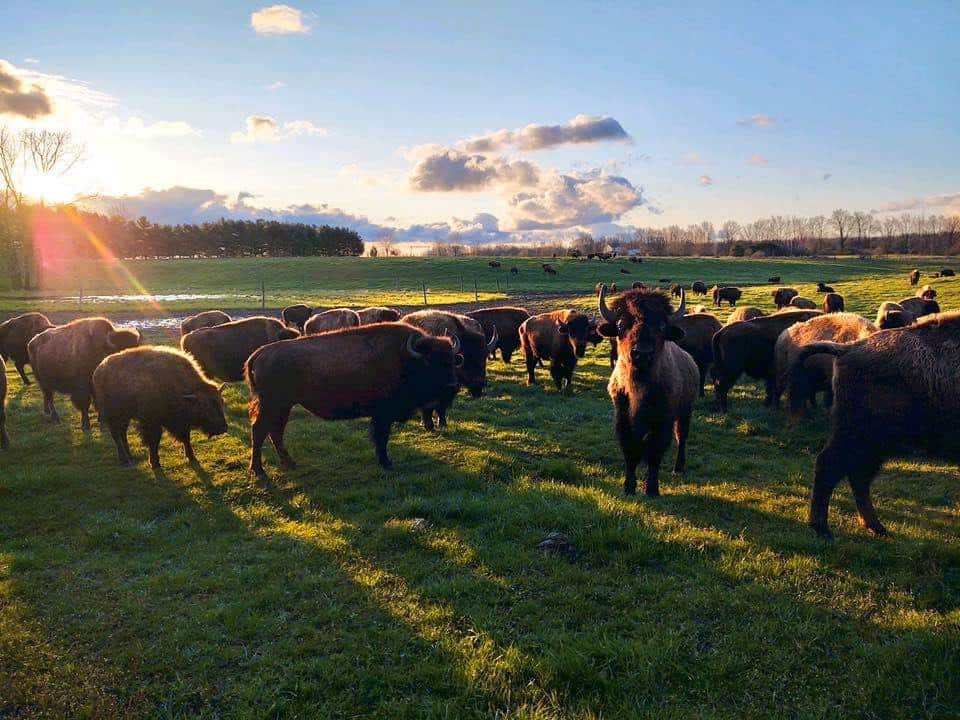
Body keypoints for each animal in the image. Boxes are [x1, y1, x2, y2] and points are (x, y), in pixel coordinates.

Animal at [93, 344, 230, 470]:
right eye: (204, 407)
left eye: (221, 402)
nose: (223, 428)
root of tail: (98, 370)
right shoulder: (151, 422)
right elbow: (154, 440)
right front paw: (155, 463)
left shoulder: (181, 421)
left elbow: (186, 437)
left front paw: (191, 456)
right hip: (114, 415)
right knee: (116, 434)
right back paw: (124, 459)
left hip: (124, 416)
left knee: (122, 434)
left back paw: (129, 456)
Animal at [244, 322, 462, 478]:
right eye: (430, 362)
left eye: (452, 360)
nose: (452, 386)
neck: (404, 357)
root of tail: (259, 353)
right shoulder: (383, 415)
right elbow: (381, 437)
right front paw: (387, 463)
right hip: (273, 405)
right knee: (260, 430)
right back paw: (259, 471)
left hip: (283, 406)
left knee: (275, 431)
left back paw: (289, 463)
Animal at [596, 286, 692, 496]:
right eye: (621, 325)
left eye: (662, 326)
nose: (642, 354)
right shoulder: (623, 419)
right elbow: (631, 452)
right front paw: (628, 488)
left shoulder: (662, 422)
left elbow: (654, 455)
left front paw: (652, 490)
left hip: (686, 412)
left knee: (681, 438)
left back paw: (678, 468)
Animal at [800, 312, 960, 536]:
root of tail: (848, 348)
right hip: (862, 437)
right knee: (831, 467)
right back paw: (822, 528)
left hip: (872, 446)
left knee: (857, 477)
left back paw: (875, 526)